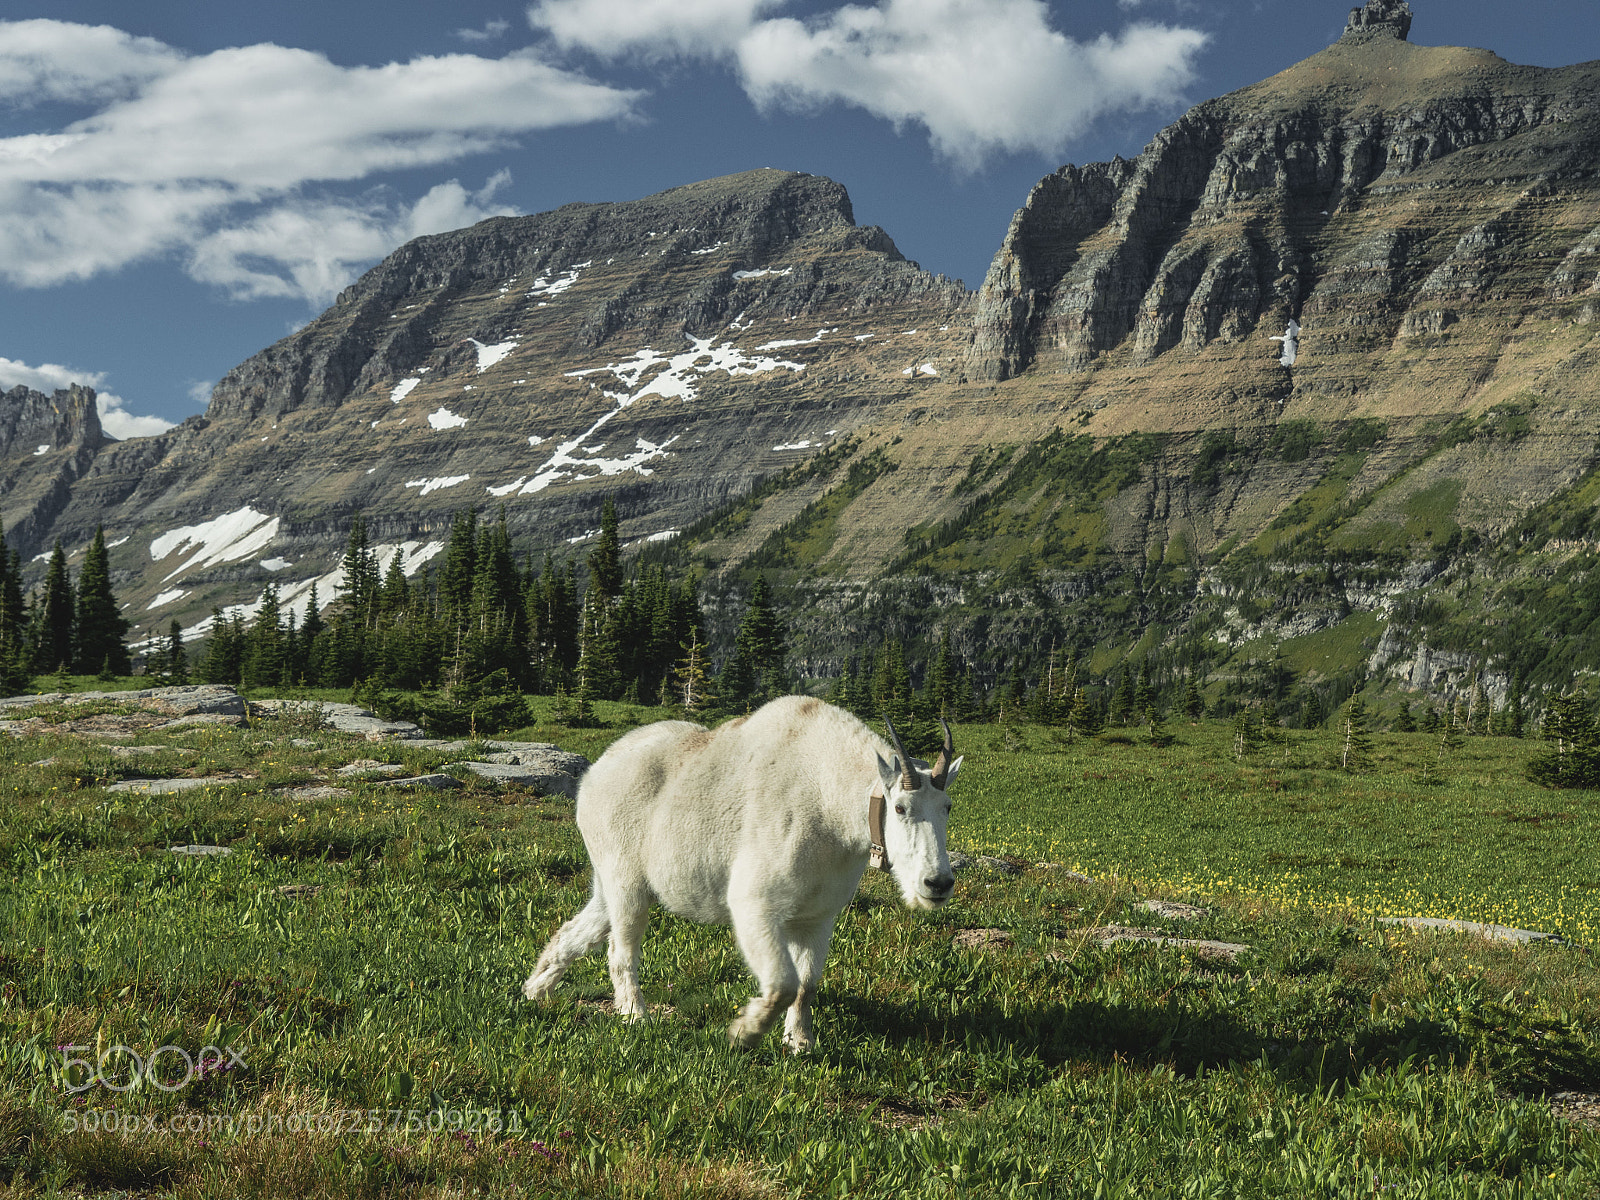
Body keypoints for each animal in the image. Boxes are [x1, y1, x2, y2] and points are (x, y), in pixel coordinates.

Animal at [523, 695, 962, 1052]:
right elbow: (783, 983)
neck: (831, 803)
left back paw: (534, 991)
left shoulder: (817, 915)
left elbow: (807, 985)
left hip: (609, 881)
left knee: (579, 930)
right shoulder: (756, 902)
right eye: (900, 807)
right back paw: (635, 1016)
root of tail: (591, 778)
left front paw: (800, 1042)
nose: (937, 883)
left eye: (947, 806)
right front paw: (743, 1033)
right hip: (624, 878)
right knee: (620, 949)